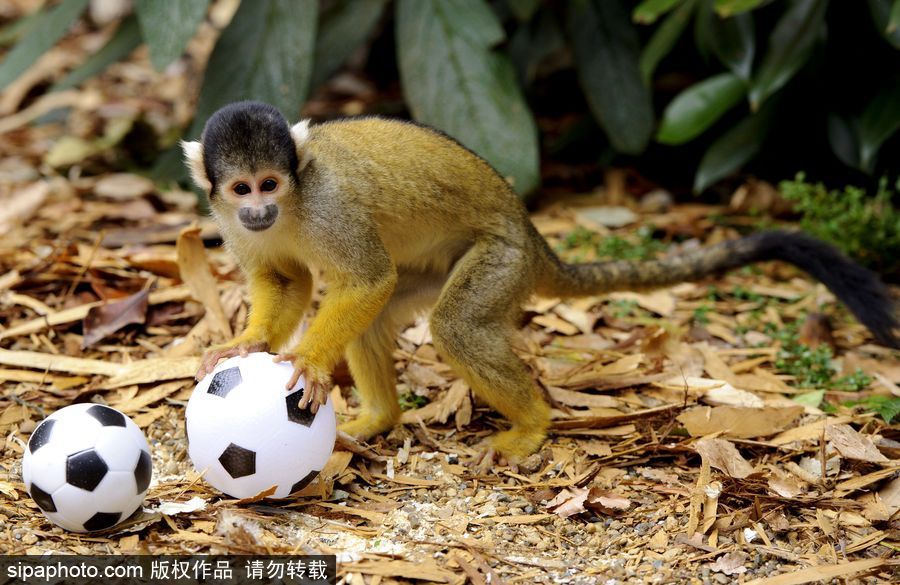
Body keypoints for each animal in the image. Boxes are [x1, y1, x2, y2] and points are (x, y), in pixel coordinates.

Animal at [185, 102, 900, 464]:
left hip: (500, 260)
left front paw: (306, 360)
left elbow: (365, 279)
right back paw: (382, 419)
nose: (258, 210)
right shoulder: (228, 220)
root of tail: (531, 233)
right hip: (448, 268)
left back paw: (532, 424)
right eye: (242, 189)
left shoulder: (328, 205)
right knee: (388, 313)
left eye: (271, 183)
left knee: (451, 321)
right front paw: (246, 343)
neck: (292, 205)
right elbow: (284, 280)